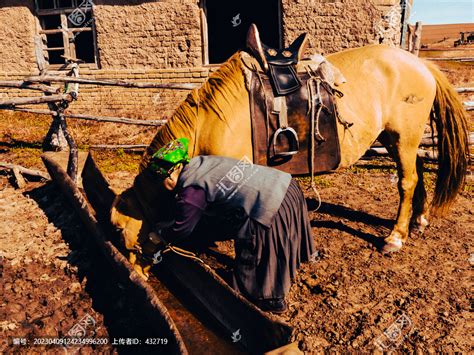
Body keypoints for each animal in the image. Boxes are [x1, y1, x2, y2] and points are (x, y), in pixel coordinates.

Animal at [109, 37, 468, 278]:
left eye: (123, 229)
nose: (137, 273)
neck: (209, 124)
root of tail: (421, 64)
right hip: (396, 138)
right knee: (417, 173)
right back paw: (418, 220)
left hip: (404, 137)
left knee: (407, 181)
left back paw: (395, 237)